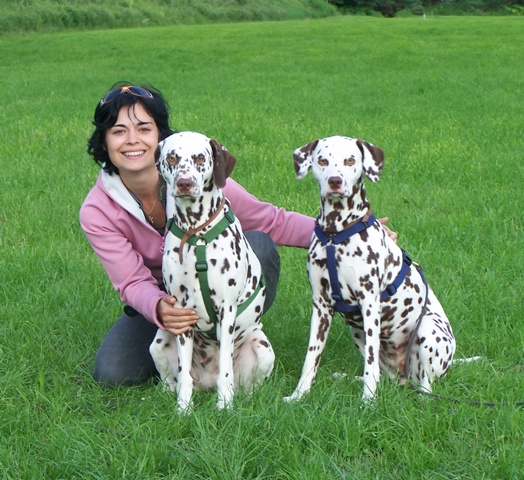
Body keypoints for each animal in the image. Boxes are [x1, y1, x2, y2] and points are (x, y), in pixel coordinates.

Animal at [148, 131, 274, 412]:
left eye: (199, 158)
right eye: (171, 157)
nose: (184, 183)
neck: (197, 235)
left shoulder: (226, 310)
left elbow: (226, 370)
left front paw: (224, 407)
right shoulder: (180, 312)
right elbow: (183, 374)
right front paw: (183, 409)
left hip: (262, 347)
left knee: (247, 387)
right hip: (159, 342)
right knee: (171, 380)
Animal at [282, 135, 454, 402]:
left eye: (350, 160)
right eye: (322, 160)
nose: (335, 181)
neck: (335, 235)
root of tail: (405, 377)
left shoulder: (369, 304)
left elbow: (371, 364)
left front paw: (368, 401)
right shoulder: (321, 307)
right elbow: (311, 358)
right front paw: (299, 395)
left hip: (426, 330)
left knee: (424, 383)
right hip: (357, 333)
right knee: (384, 376)